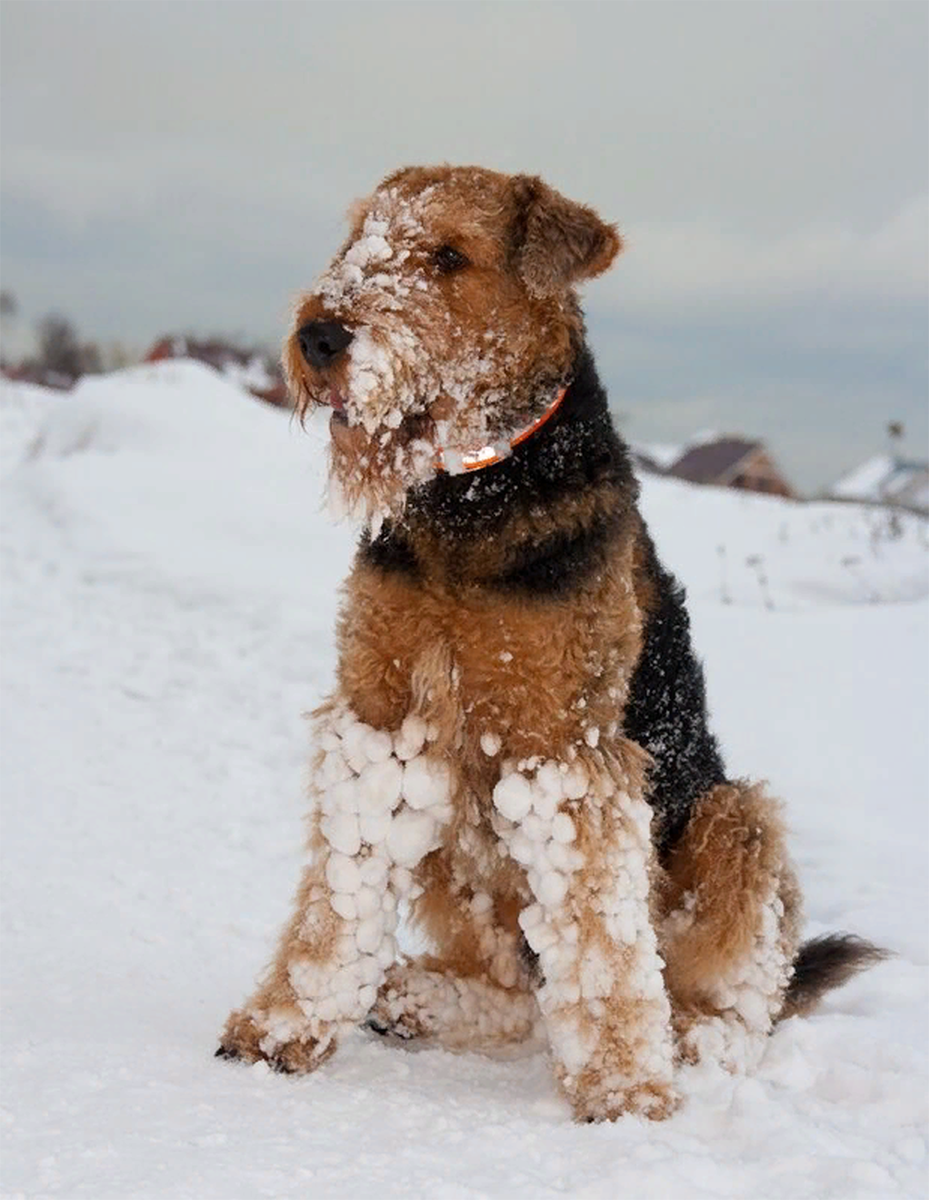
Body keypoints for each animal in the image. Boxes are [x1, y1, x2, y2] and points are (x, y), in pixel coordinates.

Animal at [219, 164, 888, 1118]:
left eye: (448, 255)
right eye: (358, 236)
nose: (319, 336)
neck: (472, 496)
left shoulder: (564, 749)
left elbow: (599, 941)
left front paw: (623, 1091)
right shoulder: (382, 720)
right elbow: (338, 898)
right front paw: (280, 1027)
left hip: (734, 820)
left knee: (731, 997)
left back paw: (686, 1041)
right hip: (456, 827)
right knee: (514, 984)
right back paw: (411, 997)